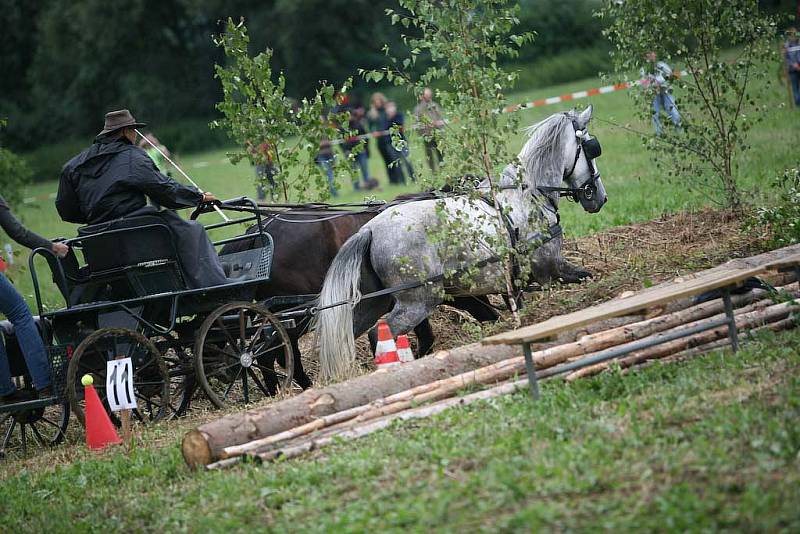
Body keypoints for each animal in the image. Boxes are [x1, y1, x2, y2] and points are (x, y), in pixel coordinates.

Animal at [312, 107, 608, 382]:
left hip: (374, 303)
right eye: (591, 149)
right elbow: (587, 275)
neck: (528, 196)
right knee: (379, 335)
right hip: (417, 302)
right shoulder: (550, 270)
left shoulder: (512, 284)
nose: (600, 198)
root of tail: (370, 229)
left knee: (348, 335)